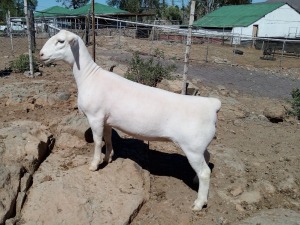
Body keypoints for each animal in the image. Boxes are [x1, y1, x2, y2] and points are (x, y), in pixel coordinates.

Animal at [39, 29, 220, 211]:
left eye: (61, 41)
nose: (40, 54)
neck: (88, 76)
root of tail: (212, 105)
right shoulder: (106, 120)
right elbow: (107, 138)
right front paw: (108, 158)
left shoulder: (95, 117)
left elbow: (97, 141)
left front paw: (94, 164)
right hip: (198, 145)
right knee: (208, 157)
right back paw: (195, 181)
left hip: (192, 147)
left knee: (205, 172)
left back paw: (199, 203)